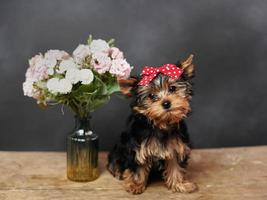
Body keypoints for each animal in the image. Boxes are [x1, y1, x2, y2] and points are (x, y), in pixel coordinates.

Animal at [108, 54, 198, 194]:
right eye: (151, 95)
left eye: (172, 88)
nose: (166, 103)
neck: (161, 123)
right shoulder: (137, 149)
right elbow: (138, 168)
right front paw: (135, 185)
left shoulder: (176, 147)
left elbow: (176, 166)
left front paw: (180, 184)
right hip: (119, 149)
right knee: (116, 162)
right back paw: (118, 171)